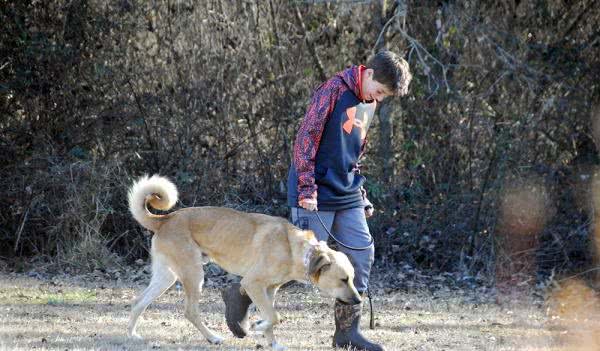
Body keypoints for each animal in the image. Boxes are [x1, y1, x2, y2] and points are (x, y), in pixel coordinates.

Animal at [126, 176, 360, 351]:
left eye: (352, 279)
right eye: (343, 279)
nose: (359, 300)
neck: (299, 251)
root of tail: (165, 219)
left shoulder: (269, 289)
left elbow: (271, 317)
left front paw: (272, 342)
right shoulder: (252, 283)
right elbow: (274, 316)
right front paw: (256, 326)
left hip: (166, 278)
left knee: (138, 301)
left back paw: (132, 336)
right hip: (193, 274)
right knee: (190, 311)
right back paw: (213, 338)